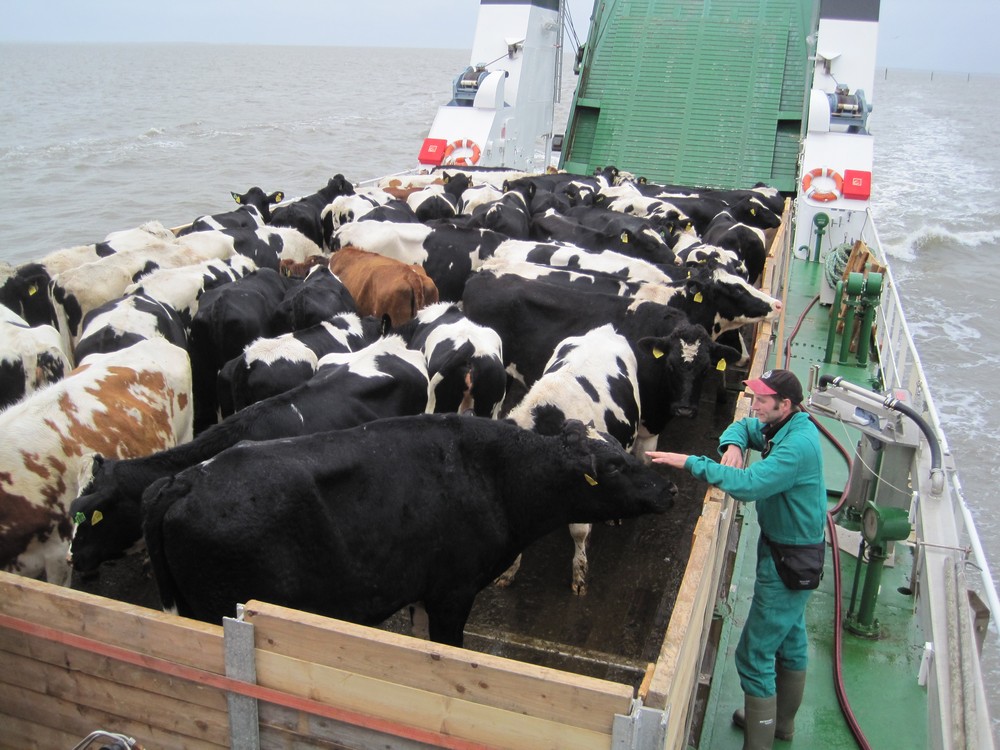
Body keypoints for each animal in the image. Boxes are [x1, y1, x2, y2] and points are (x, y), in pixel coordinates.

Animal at [137, 414, 676, 644]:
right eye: (614, 465)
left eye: (621, 448)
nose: (667, 487)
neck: (499, 475)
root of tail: (183, 479)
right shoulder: (453, 592)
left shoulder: (421, 589)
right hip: (216, 607)